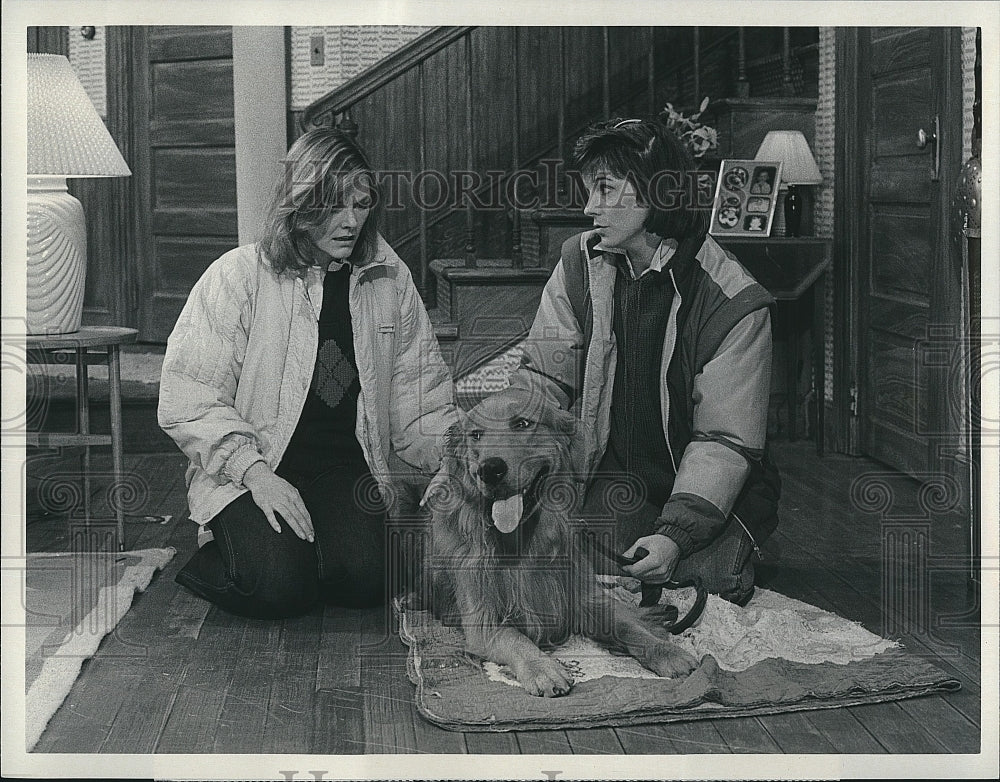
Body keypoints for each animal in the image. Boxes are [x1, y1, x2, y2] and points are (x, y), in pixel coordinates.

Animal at [426, 388, 700, 700]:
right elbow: (515, 637)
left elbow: (628, 625)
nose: (490, 469)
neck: (523, 542)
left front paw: (665, 650)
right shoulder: (483, 622)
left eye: (522, 423)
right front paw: (542, 668)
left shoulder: (587, 598)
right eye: (476, 434)